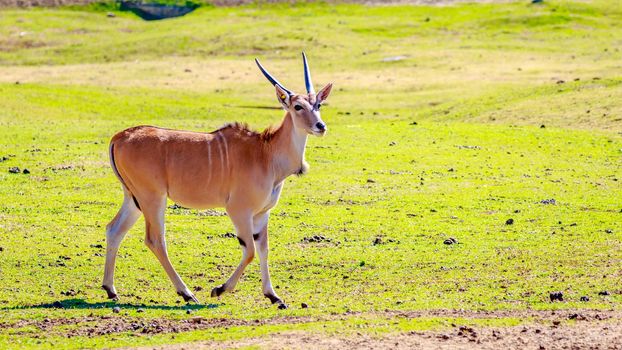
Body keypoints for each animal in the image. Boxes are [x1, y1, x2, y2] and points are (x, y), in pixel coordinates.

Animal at [102, 52, 334, 308]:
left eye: (318, 104)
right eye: (297, 106)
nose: (320, 126)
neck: (266, 153)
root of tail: (120, 137)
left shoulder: (262, 213)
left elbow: (263, 249)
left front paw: (273, 296)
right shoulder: (238, 209)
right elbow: (250, 251)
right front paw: (220, 289)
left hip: (134, 199)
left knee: (114, 229)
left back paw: (111, 289)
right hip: (152, 198)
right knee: (155, 240)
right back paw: (186, 292)